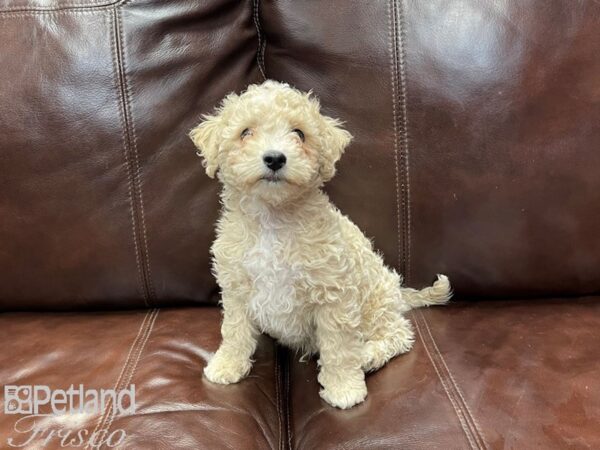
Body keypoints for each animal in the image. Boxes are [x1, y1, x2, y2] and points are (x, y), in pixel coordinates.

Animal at [190, 80, 448, 408]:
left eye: (299, 134)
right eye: (245, 132)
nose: (275, 158)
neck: (273, 219)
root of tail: (398, 294)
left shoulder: (334, 296)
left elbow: (338, 347)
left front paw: (343, 389)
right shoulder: (236, 288)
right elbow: (235, 331)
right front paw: (226, 366)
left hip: (375, 306)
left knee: (399, 334)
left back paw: (368, 355)